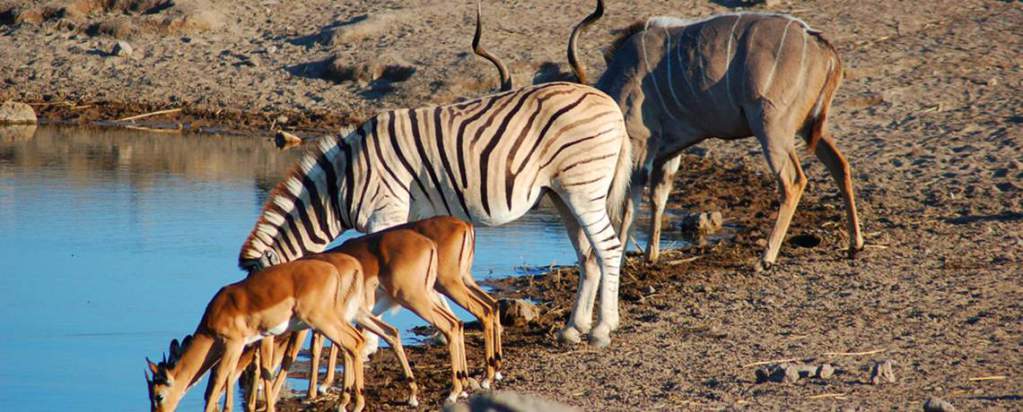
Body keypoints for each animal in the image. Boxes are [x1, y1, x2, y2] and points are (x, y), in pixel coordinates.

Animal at [240, 79, 634, 345]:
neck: (341, 184)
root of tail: (612, 105)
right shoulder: (410, 219)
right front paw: (442, 326)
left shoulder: (386, 212)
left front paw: (371, 342)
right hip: (563, 193)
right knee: (588, 255)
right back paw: (573, 328)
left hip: (583, 188)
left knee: (608, 248)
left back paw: (603, 329)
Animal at [568, 0, 863, 271]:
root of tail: (818, 43)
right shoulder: (669, 152)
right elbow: (658, 197)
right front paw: (651, 255)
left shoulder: (641, 145)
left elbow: (630, 201)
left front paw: (621, 257)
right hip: (809, 127)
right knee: (840, 165)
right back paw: (855, 245)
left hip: (771, 128)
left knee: (793, 181)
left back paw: (765, 258)